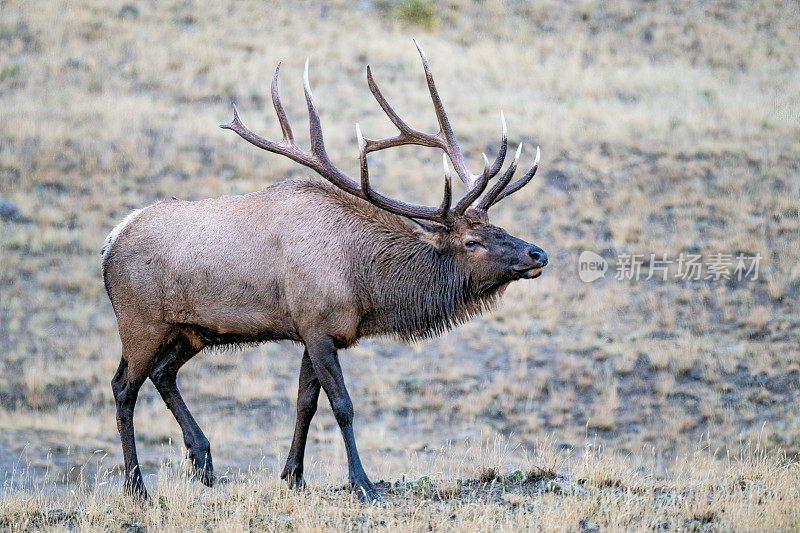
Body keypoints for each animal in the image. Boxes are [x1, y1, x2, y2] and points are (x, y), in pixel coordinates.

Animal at [101, 40, 544, 498]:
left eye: (498, 227)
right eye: (472, 242)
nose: (537, 254)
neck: (364, 285)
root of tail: (112, 240)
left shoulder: (315, 329)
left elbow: (305, 403)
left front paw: (293, 475)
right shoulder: (317, 325)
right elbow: (342, 404)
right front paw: (362, 482)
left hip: (190, 330)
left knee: (163, 373)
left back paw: (202, 458)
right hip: (139, 321)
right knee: (123, 387)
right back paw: (137, 486)